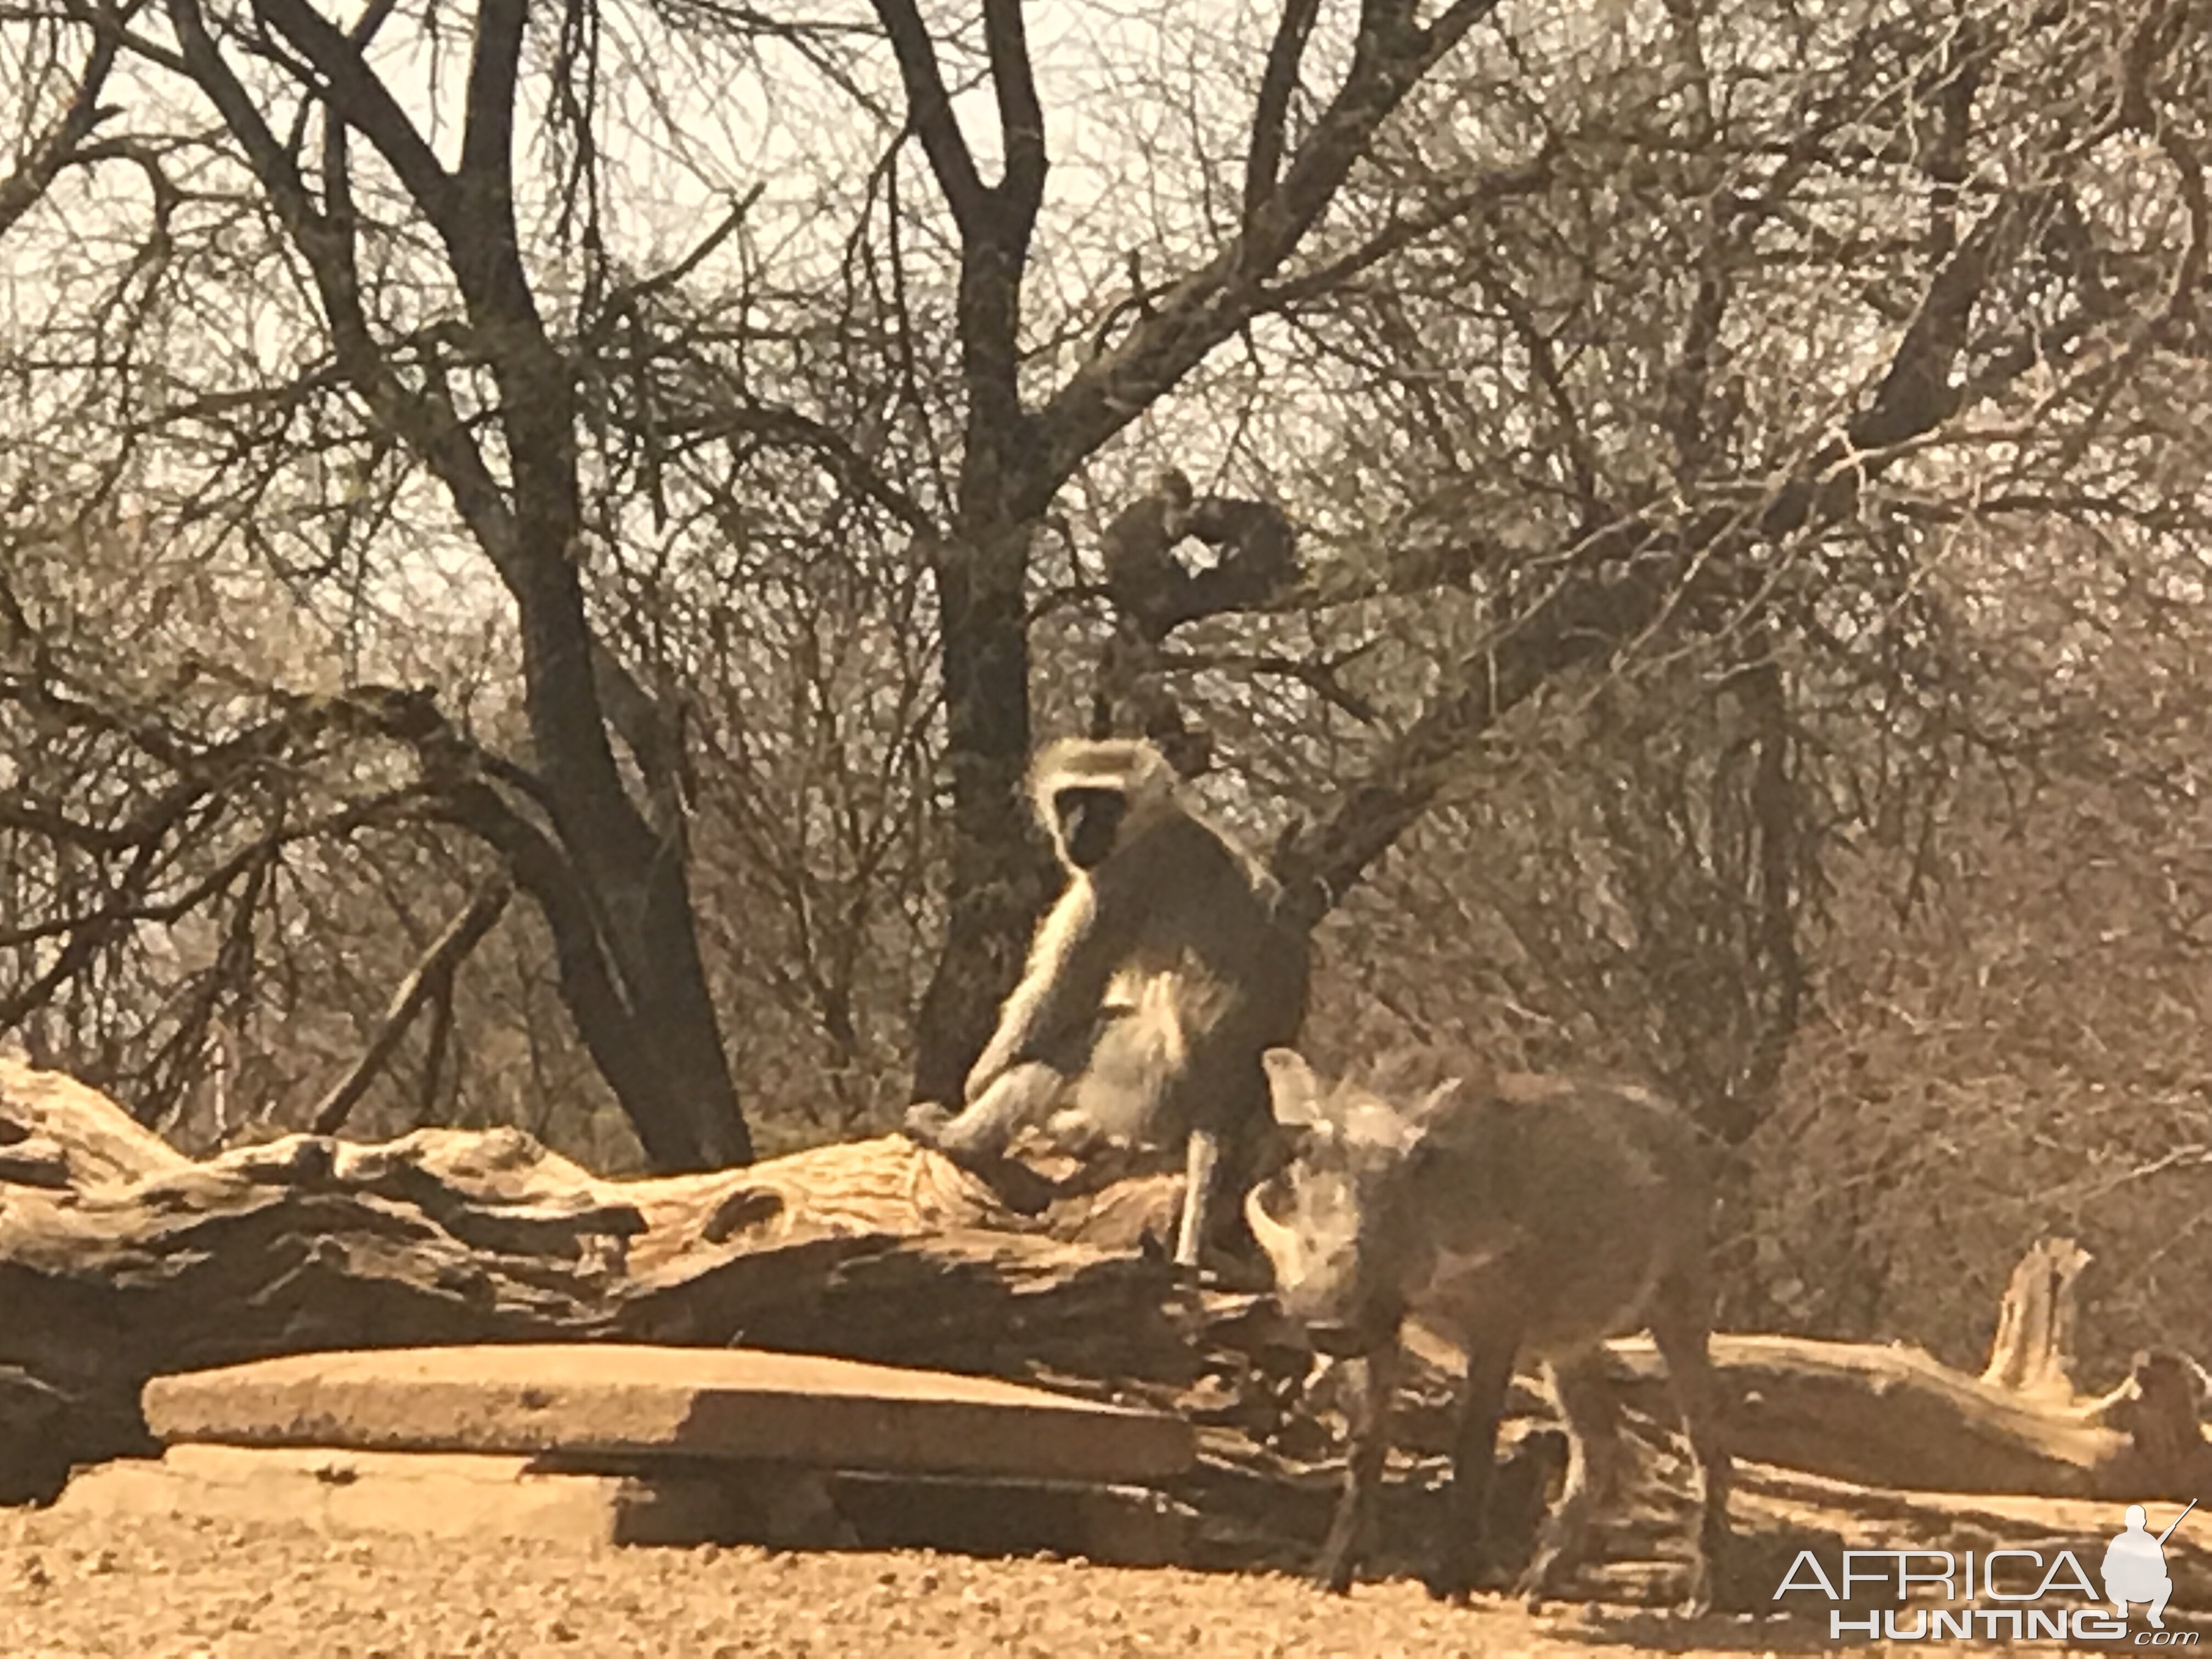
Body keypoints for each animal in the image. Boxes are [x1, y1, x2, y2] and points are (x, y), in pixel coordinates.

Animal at [902, 738, 1309, 1274]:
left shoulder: (1121, 881)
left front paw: (977, 1082)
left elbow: (1064, 991)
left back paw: (958, 1139)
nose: (1078, 829)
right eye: (1072, 799)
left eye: (1105, 804)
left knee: (1064, 1053)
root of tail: (1224, 1103)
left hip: (1148, 1075)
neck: (1158, 825)